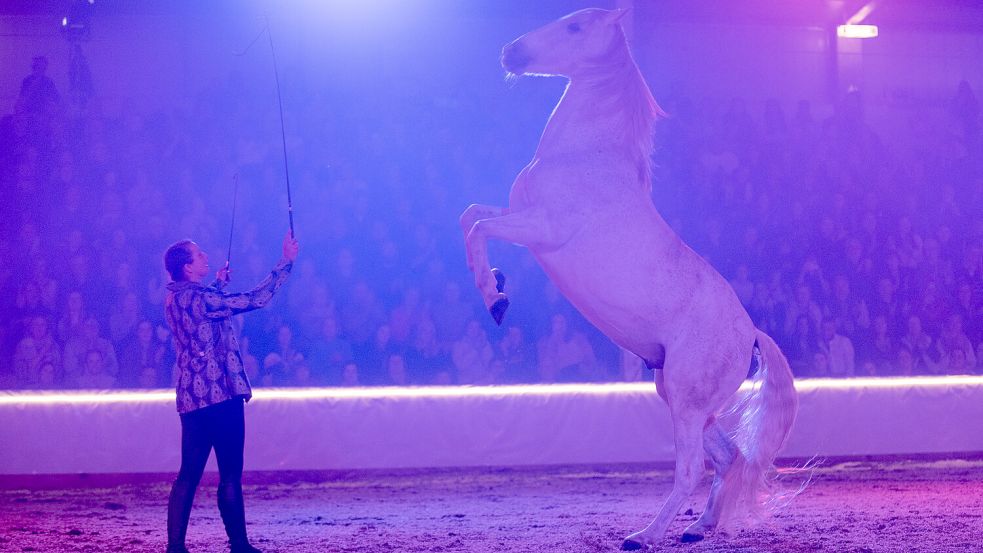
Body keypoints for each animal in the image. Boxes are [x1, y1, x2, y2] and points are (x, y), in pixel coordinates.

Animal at [460, 8, 798, 550]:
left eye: (575, 26)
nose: (511, 51)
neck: (585, 155)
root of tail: (751, 335)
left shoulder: (541, 228)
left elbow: (477, 227)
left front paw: (496, 299)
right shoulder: (519, 215)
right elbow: (472, 215)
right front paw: (497, 281)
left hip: (686, 402)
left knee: (692, 470)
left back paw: (645, 534)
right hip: (680, 398)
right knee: (730, 460)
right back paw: (697, 529)